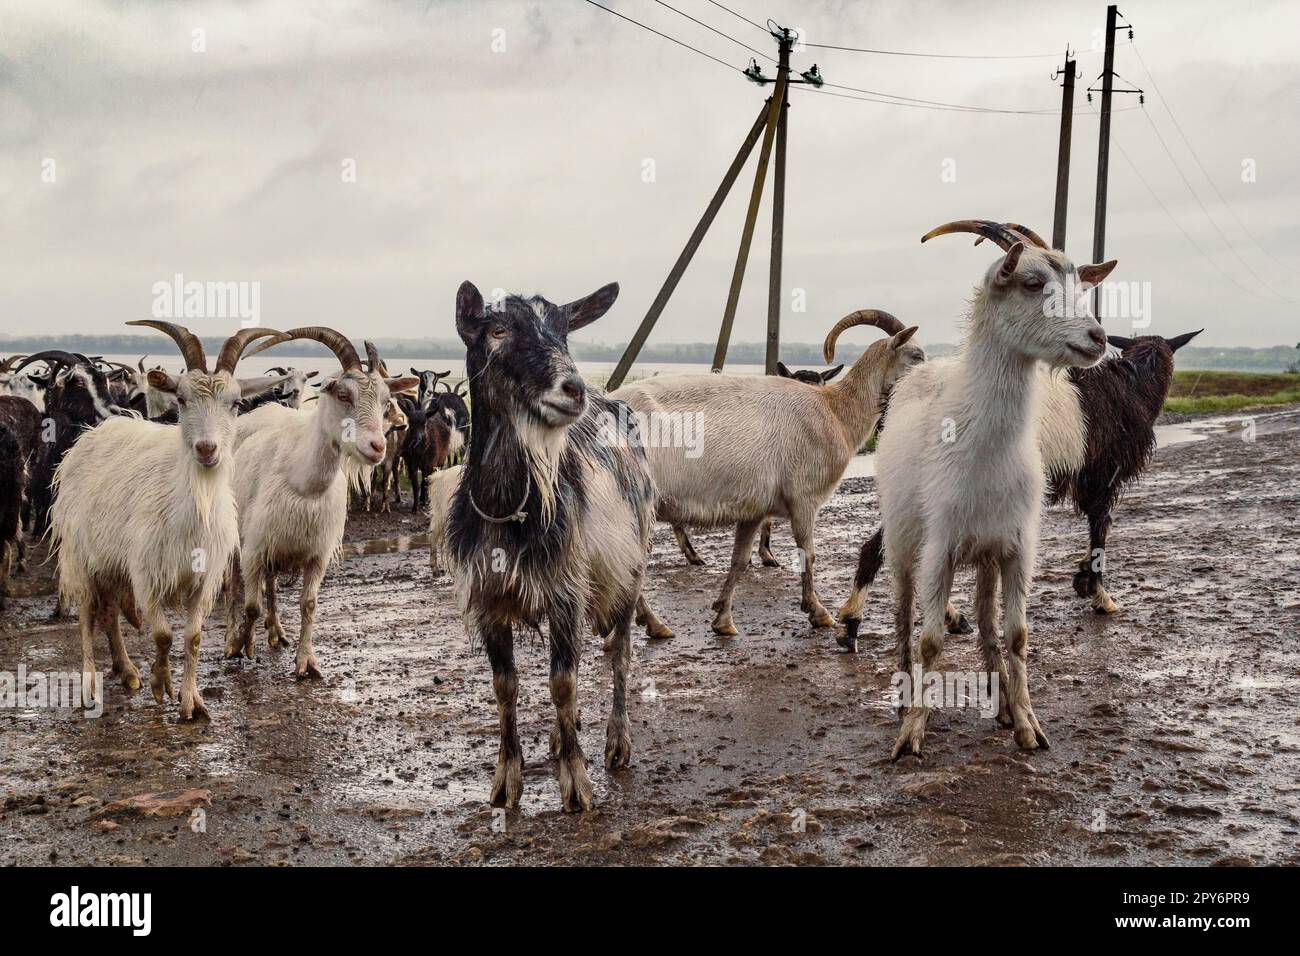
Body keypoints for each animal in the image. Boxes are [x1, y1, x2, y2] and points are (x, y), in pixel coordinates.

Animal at [50, 321, 287, 717]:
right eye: (182, 399)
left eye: (236, 403)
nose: (207, 449)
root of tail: (93, 435)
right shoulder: (146, 573)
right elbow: (162, 634)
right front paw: (162, 683)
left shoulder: (203, 578)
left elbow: (192, 637)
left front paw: (192, 702)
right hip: (82, 556)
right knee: (87, 615)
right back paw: (90, 688)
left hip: (112, 563)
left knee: (110, 613)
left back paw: (127, 670)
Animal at [218, 332, 410, 676]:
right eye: (343, 395)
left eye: (386, 401)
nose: (378, 446)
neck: (304, 483)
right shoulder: (254, 548)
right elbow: (250, 606)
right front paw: (241, 644)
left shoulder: (316, 553)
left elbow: (308, 605)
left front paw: (306, 662)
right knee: (232, 585)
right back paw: (231, 639)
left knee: (271, 586)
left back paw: (277, 632)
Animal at [447, 280, 670, 811]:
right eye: (498, 330)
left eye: (564, 333)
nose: (574, 389)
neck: (508, 510)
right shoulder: (489, 600)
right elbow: (505, 686)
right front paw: (506, 781)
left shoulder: (565, 591)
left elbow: (562, 682)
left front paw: (577, 783)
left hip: (630, 573)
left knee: (619, 653)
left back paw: (615, 742)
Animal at [883, 218, 1118, 764]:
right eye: (1032, 283)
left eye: (1079, 286)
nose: (1098, 337)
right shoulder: (939, 548)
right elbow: (930, 640)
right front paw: (913, 732)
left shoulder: (1016, 547)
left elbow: (1016, 635)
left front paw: (1029, 724)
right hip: (903, 544)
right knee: (903, 616)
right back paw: (905, 695)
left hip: (987, 555)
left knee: (987, 622)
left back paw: (1003, 702)